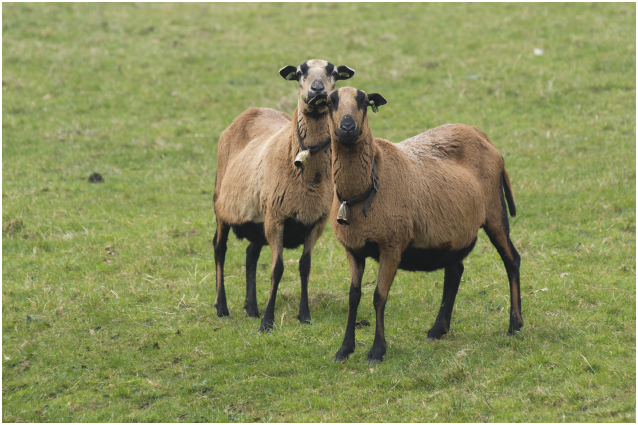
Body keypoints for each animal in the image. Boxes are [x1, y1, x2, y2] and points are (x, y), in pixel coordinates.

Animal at [214, 58, 356, 332]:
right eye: (300, 72)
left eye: (333, 72)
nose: (317, 90)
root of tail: (253, 110)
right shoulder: (276, 219)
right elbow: (277, 269)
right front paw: (268, 321)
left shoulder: (316, 222)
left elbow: (305, 266)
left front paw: (304, 315)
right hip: (222, 206)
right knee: (219, 249)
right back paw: (221, 307)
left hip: (258, 220)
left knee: (250, 255)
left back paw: (251, 308)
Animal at [308, 87, 524, 364]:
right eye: (330, 102)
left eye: (363, 101)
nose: (347, 127)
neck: (362, 192)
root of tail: (478, 132)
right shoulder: (353, 249)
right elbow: (353, 297)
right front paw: (344, 349)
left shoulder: (392, 245)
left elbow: (379, 296)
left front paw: (377, 351)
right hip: (455, 230)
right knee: (455, 271)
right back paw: (438, 329)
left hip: (496, 211)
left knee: (512, 260)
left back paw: (515, 325)